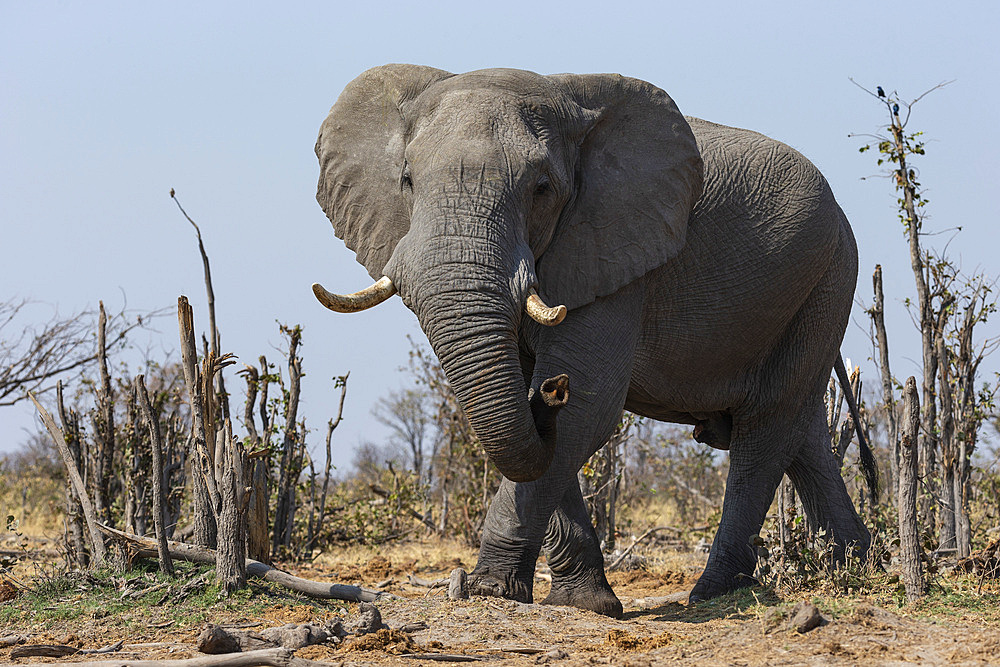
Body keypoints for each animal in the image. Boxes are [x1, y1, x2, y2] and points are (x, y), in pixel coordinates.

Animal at [310, 65, 876, 620]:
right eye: (407, 180)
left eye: (542, 188)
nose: (551, 390)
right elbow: (542, 423)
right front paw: (583, 603)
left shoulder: (617, 254)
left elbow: (589, 408)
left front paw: (491, 590)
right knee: (801, 433)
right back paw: (854, 568)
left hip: (826, 277)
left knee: (766, 427)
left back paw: (715, 594)